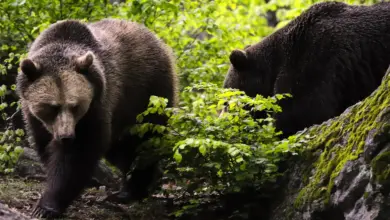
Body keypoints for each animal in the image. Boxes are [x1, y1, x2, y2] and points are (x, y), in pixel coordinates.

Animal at [15, 18, 180, 218]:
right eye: (52, 107)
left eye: (75, 105)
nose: (66, 136)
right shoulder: (34, 117)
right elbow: (44, 145)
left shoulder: (97, 105)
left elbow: (79, 154)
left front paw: (46, 207)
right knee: (120, 150)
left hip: (148, 93)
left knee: (143, 142)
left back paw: (133, 190)